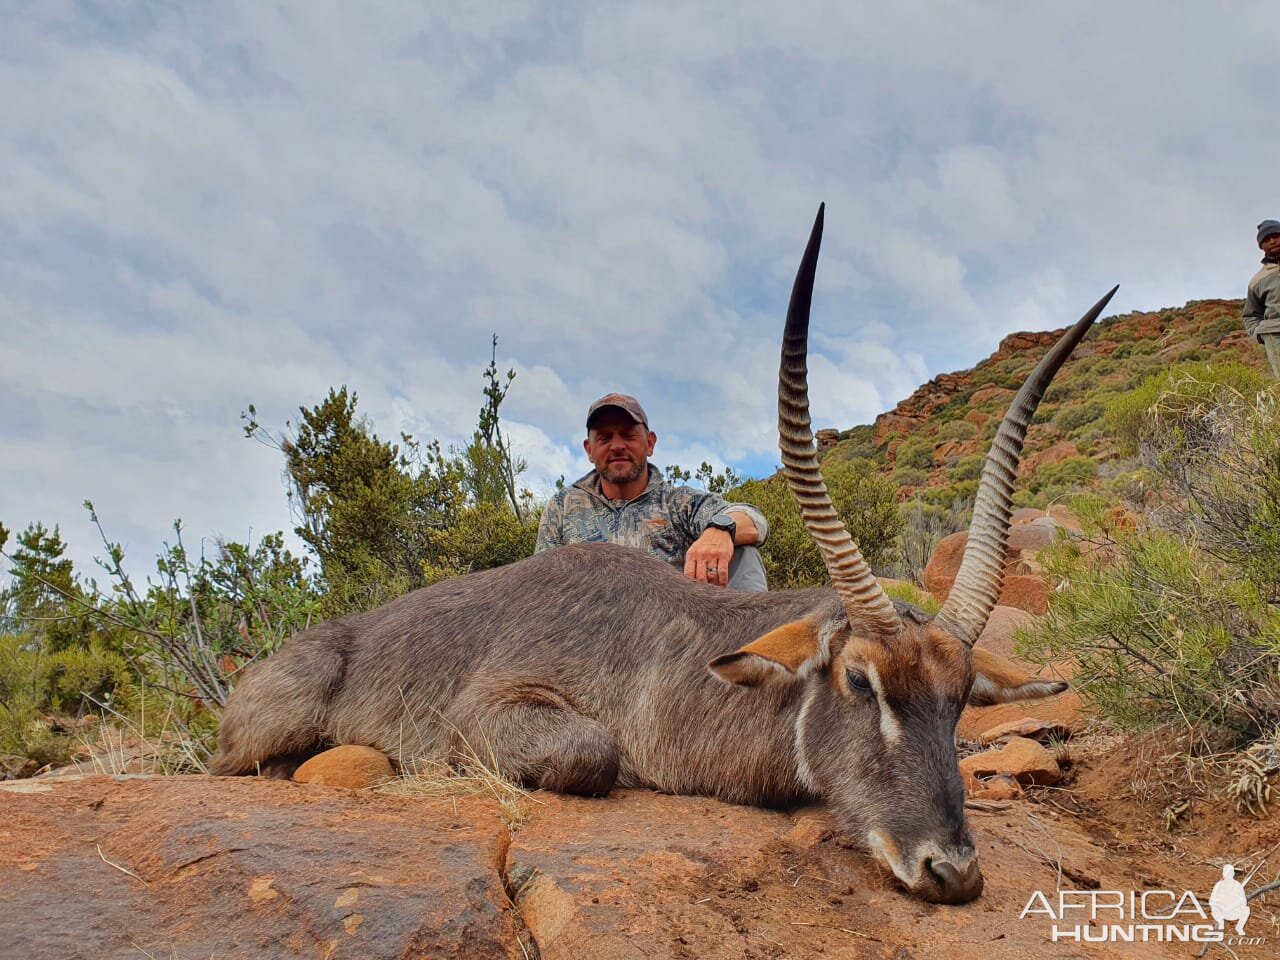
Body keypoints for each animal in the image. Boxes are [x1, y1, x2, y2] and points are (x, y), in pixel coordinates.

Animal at [215, 207, 1116, 906]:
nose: (951, 871)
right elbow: (592, 752)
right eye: (861, 681)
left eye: (961, 699)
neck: (668, 644)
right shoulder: (492, 710)